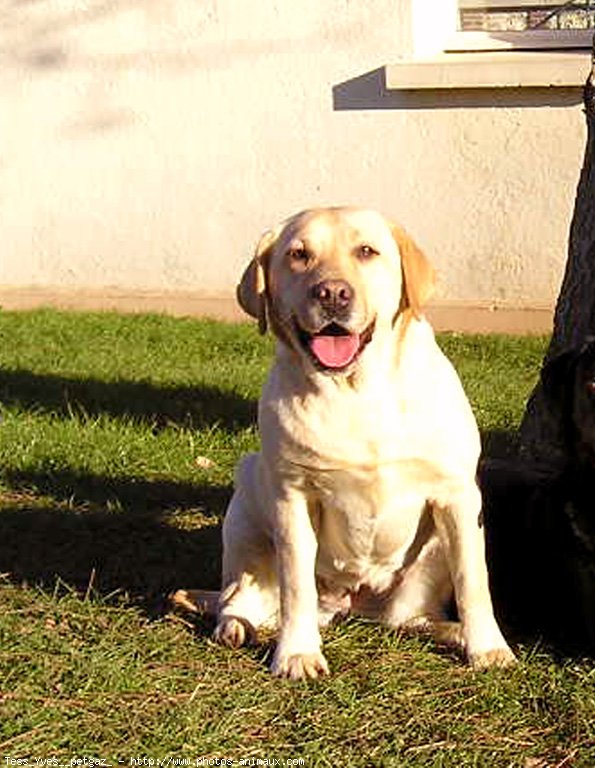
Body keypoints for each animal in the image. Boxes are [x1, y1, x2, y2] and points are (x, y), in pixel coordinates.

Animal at [175, 206, 516, 680]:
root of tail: (350, 605)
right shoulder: (292, 496)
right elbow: (296, 585)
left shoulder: (458, 495)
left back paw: (452, 631)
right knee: (237, 597)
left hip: (425, 563)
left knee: (406, 619)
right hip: (247, 503)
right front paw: (297, 654)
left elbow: (474, 580)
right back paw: (239, 627)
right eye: (298, 254)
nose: (333, 294)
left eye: (367, 251)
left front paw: (488, 647)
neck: (357, 390)